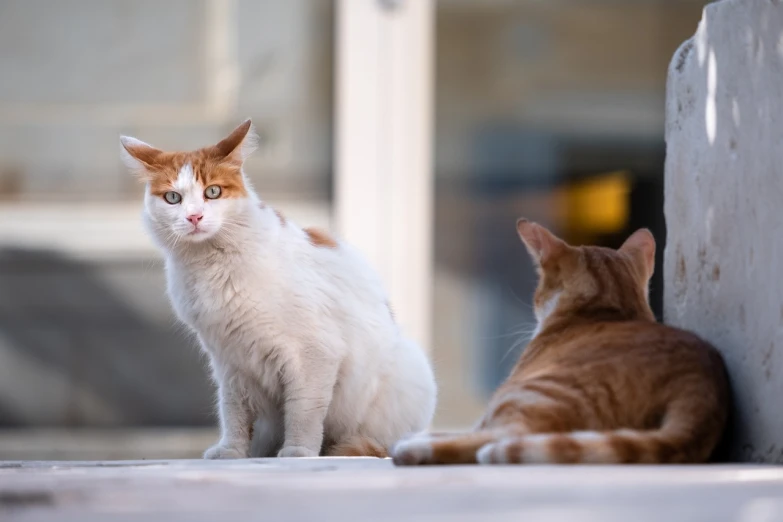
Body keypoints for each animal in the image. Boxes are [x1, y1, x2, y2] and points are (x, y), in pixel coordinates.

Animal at [120, 121, 438, 456]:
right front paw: (232, 451)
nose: (194, 217)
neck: (211, 265)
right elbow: (232, 412)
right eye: (173, 198)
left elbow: (303, 411)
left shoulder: (312, 354)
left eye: (213, 192)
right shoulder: (229, 362)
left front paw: (298, 451)